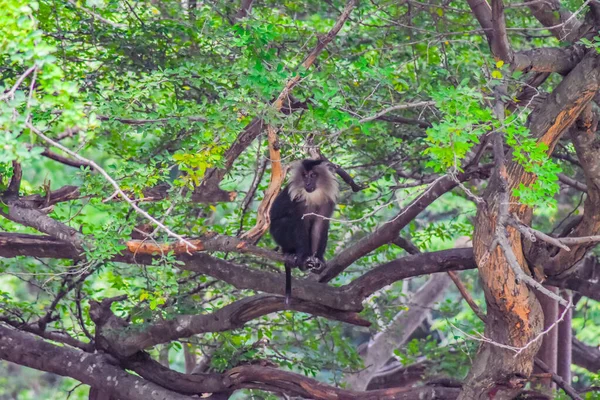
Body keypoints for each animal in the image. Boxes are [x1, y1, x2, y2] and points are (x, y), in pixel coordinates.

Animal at [270, 159, 340, 306]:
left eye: (313, 175)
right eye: (304, 175)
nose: (307, 184)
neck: (313, 196)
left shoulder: (328, 202)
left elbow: (320, 225)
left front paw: (318, 259)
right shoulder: (299, 200)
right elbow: (299, 224)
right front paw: (303, 258)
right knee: (287, 221)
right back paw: (290, 254)